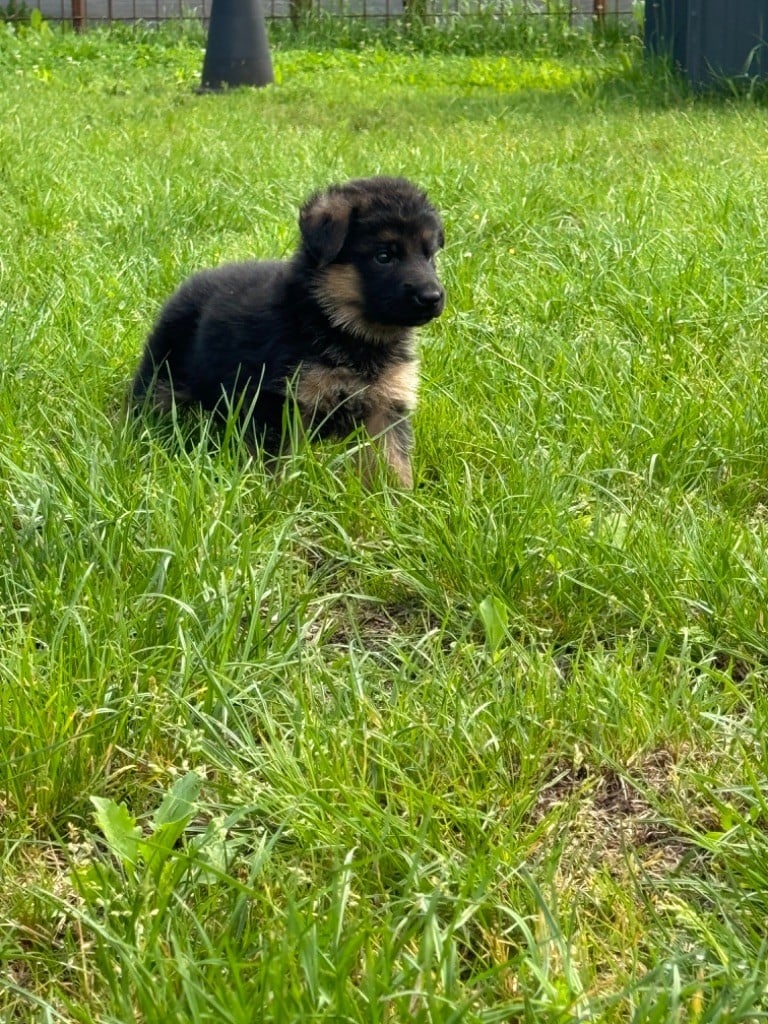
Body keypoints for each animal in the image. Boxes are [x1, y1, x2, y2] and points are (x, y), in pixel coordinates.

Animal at [131, 176, 445, 488]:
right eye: (383, 256)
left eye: (429, 256)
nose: (433, 297)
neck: (339, 325)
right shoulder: (281, 403)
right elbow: (277, 467)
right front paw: (273, 496)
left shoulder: (386, 408)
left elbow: (394, 465)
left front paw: (399, 500)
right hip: (162, 372)